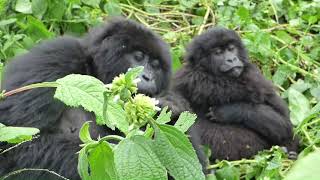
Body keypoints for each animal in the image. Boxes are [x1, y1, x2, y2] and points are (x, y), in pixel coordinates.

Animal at [0, 17, 172, 180]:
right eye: (138, 57)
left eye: (155, 66)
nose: (148, 77)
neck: (92, 69)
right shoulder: (58, 55)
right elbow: (18, 144)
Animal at [166, 27, 298, 162]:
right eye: (218, 52)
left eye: (231, 49)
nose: (232, 59)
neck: (216, 79)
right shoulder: (183, 79)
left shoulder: (257, 79)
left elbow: (285, 125)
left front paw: (229, 111)